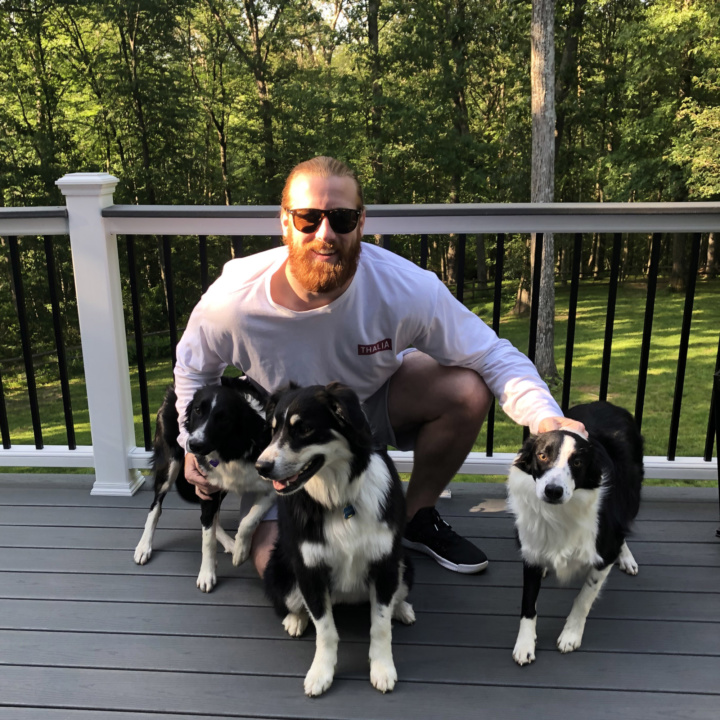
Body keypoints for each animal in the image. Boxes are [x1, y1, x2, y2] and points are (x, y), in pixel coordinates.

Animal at [134, 376, 273, 592]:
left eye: (224, 418)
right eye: (198, 410)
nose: (194, 445)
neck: (231, 448)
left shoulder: (274, 486)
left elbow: (249, 520)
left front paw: (240, 551)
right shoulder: (205, 484)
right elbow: (207, 539)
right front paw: (207, 574)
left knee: (214, 517)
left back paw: (230, 543)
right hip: (170, 463)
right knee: (155, 507)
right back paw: (143, 546)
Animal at [256, 382, 415, 697]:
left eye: (304, 429)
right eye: (273, 430)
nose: (261, 467)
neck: (339, 498)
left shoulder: (385, 562)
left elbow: (380, 626)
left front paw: (382, 669)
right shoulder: (309, 570)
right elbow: (325, 629)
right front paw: (321, 673)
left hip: (405, 563)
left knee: (395, 596)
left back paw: (401, 608)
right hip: (281, 570)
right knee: (292, 603)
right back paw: (295, 619)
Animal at [507, 401, 643, 665]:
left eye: (577, 463)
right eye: (542, 455)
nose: (553, 491)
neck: (558, 512)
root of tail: (605, 402)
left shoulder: (603, 552)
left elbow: (584, 597)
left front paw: (571, 635)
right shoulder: (531, 548)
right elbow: (528, 602)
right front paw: (525, 644)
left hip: (631, 494)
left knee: (623, 528)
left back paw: (627, 557)